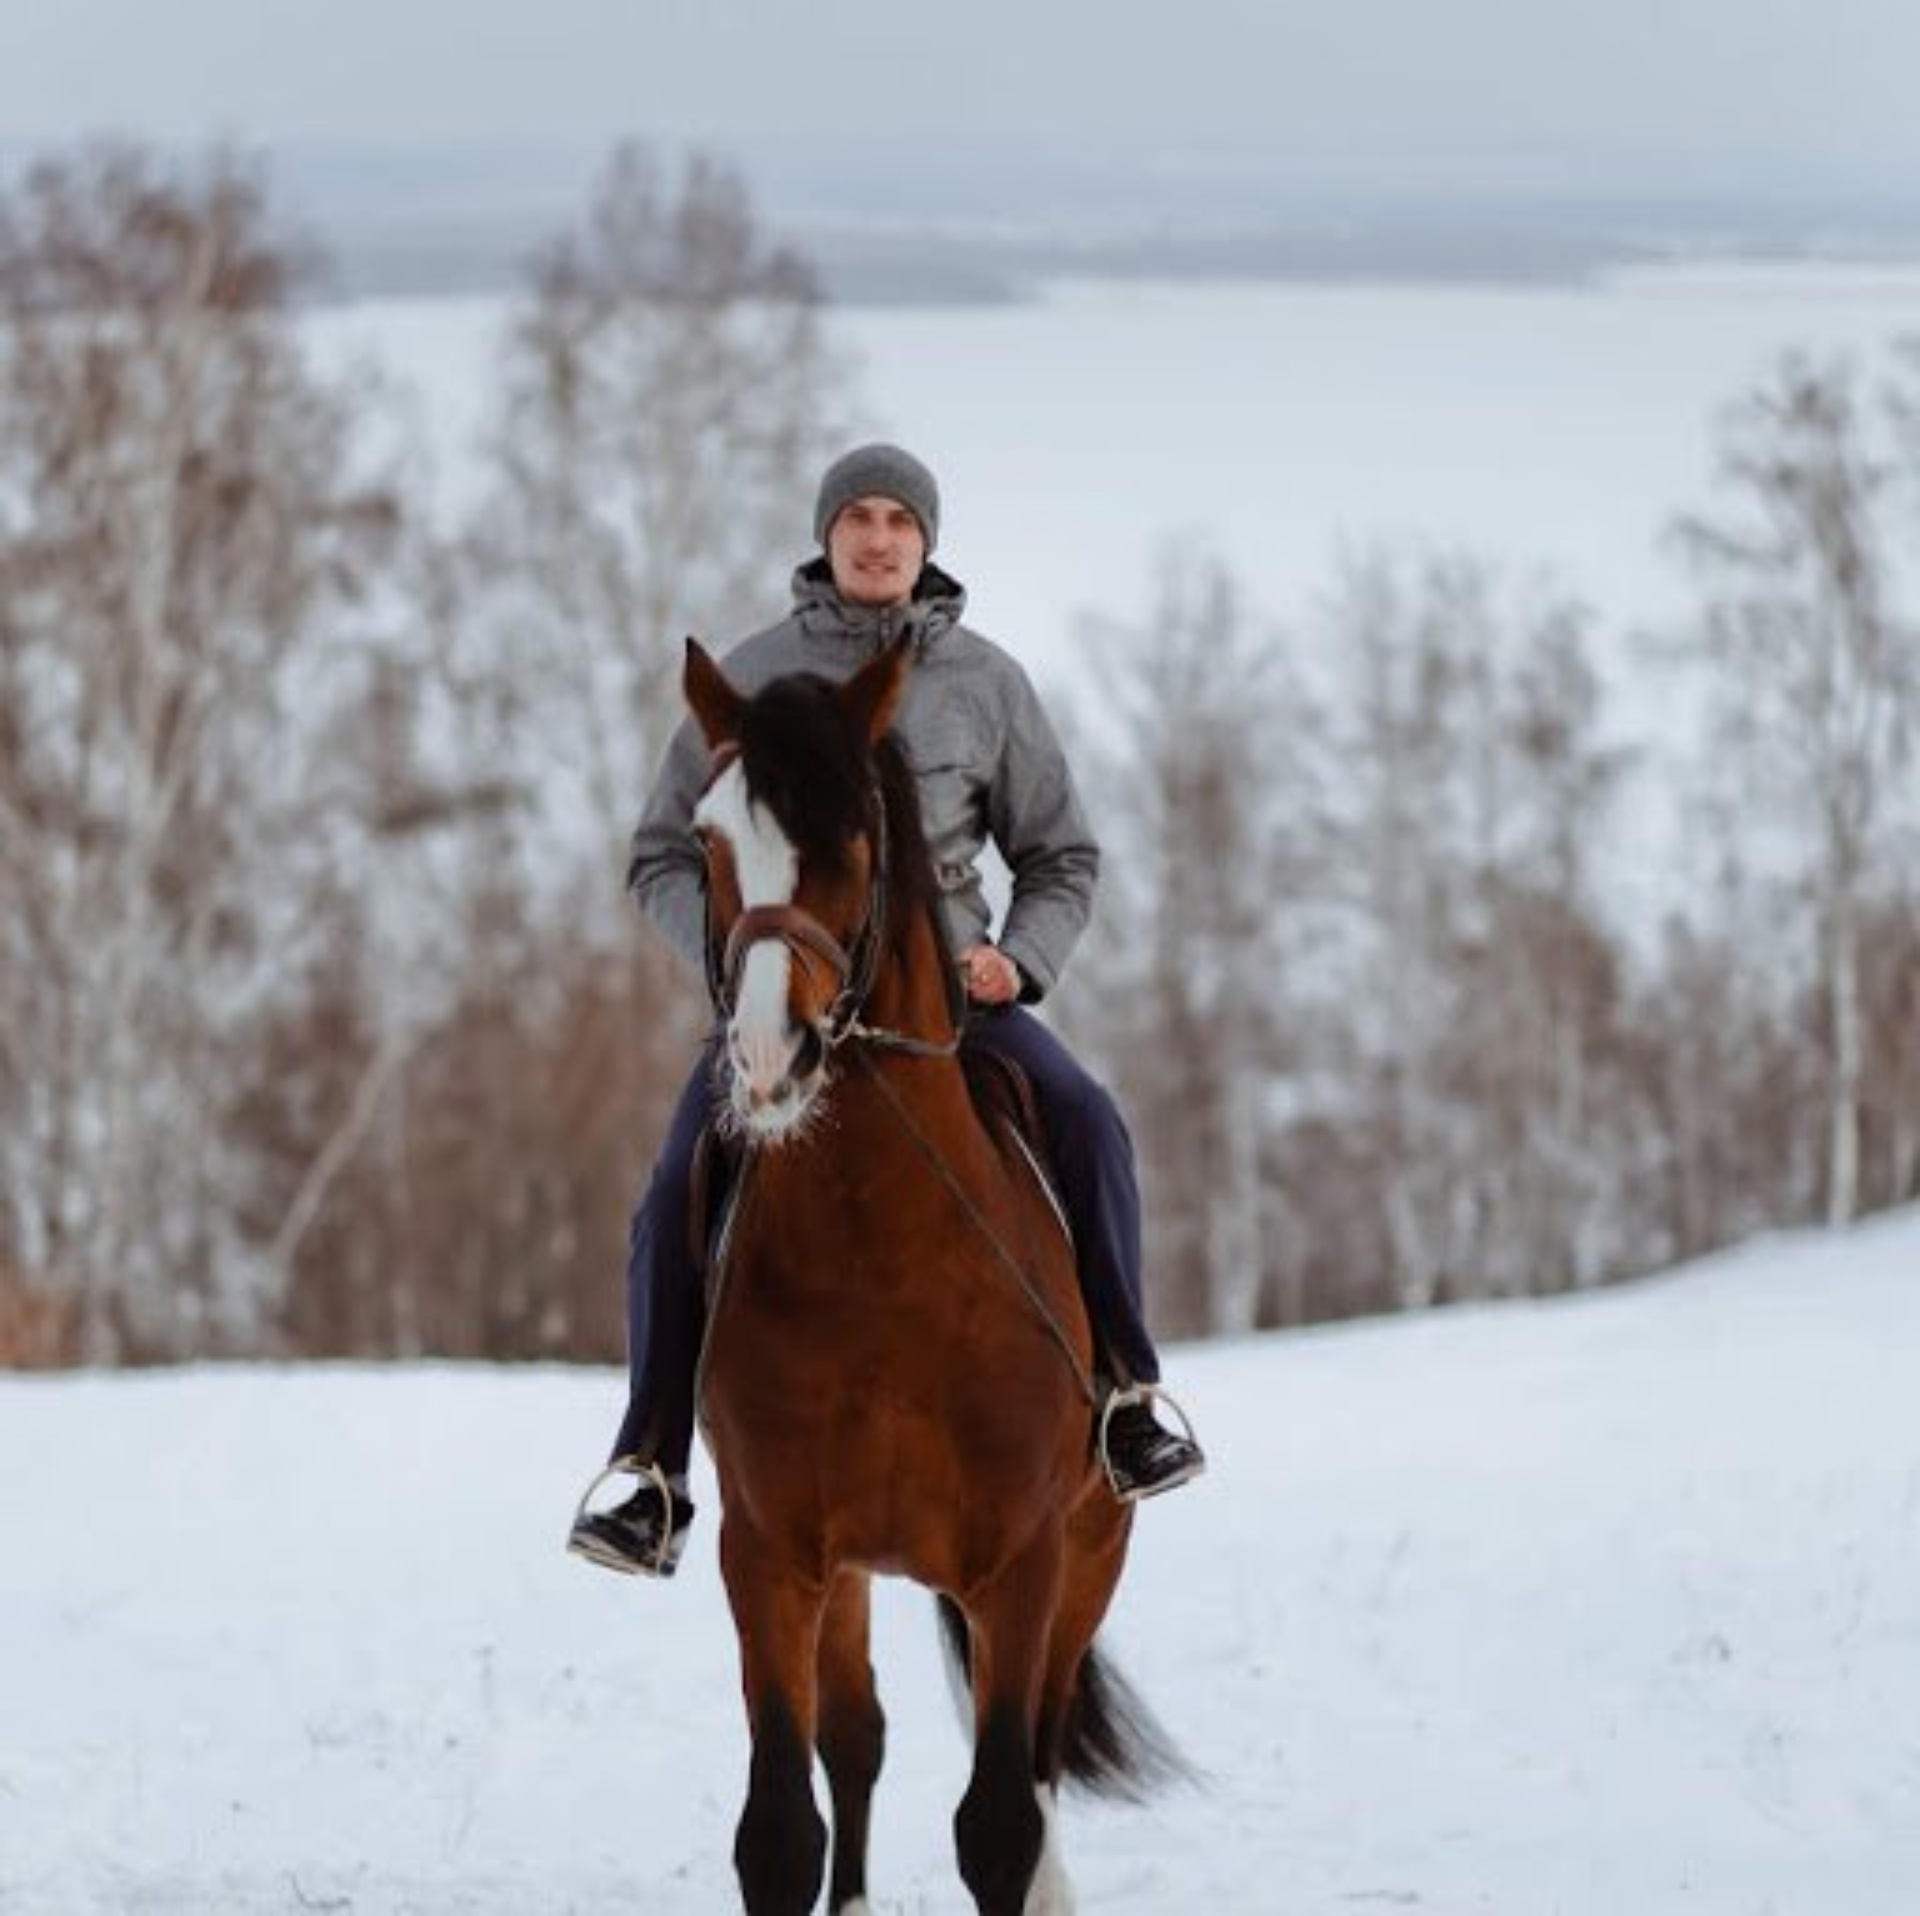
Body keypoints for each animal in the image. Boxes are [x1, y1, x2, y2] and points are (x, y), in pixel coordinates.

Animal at [683, 637, 1175, 1912]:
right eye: (706, 839)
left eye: (855, 835)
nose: (770, 1055)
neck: (882, 1257)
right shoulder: (770, 1553)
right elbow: (780, 1828)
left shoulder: (1024, 1559)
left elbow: (999, 1821)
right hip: (853, 1575)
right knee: (856, 1738)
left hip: (1090, 1559)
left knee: (1039, 1759)